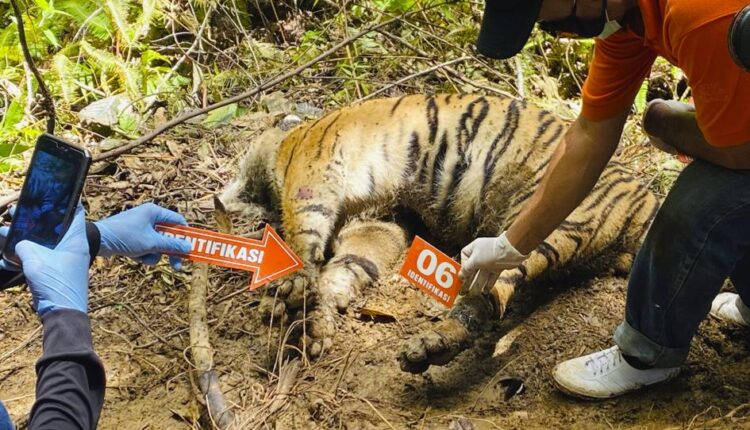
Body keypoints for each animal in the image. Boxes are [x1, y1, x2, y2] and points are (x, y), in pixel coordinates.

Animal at [219, 94, 658, 372]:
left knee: (490, 297)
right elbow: (345, 269)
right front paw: (315, 324)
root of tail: (649, 200)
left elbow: (303, 236)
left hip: (545, 222)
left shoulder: (314, 173)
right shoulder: (380, 224)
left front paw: (287, 294)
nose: (223, 198)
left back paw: (430, 346)